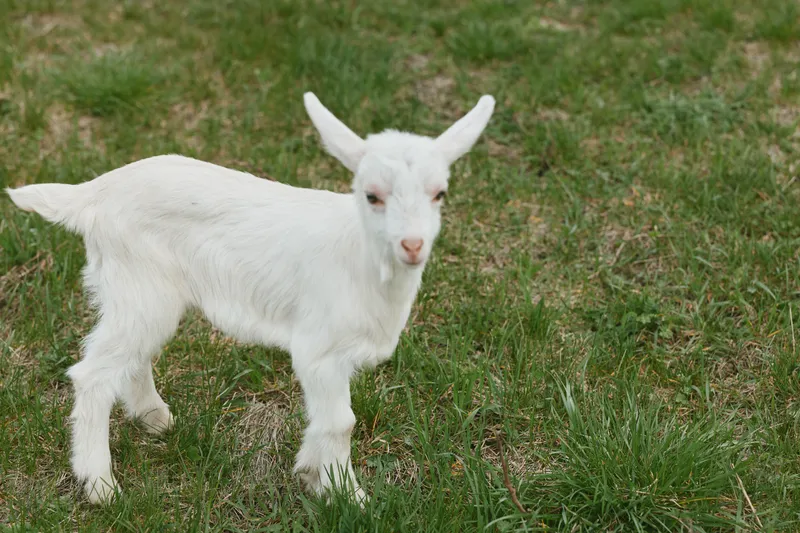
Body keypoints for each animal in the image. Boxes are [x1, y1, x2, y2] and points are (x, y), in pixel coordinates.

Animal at [5, 91, 496, 505]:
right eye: (371, 195)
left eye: (440, 194)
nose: (412, 245)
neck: (360, 257)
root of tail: (92, 194)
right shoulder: (318, 350)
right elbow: (342, 423)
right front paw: (346, 495)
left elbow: (327, 422)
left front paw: (312, 474)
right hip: (140, 286)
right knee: (92, 374)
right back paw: (100, 486)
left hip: (138, 292)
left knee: (129, 354)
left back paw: (153, 417)